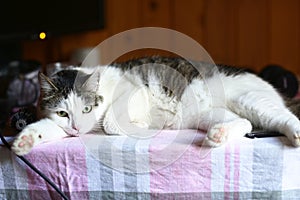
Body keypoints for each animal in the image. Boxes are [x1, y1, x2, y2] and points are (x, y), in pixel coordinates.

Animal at [10, 55, 298, 155]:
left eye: (87, 109)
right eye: (62, 112)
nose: (78, 129)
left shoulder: (135, 90)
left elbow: (112, 122)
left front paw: (141, 126)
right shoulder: (61, 125)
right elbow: (45, 128)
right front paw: (25, 140)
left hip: (249, 100)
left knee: (285, 118)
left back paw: (294, 133)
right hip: (209, 115)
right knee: (244, 123)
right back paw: (219, 135)